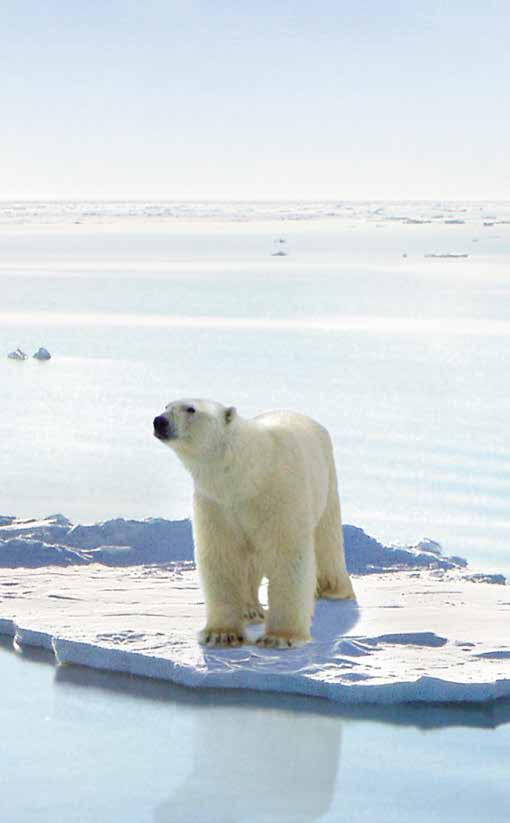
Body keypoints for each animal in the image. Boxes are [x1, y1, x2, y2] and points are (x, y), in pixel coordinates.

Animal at [152, 400, 354, 652]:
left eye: (191, 409)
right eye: (166, 406)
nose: (159, 421)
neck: (247, 476)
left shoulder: (279, 497)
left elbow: (287, 556)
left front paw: (279, 637)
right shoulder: (218, 504)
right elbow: (222, 555)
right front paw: (221, 635)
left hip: (326, 482)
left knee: (327, 539)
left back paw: (334, 589)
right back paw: (250, 610)